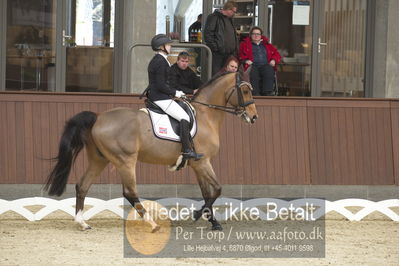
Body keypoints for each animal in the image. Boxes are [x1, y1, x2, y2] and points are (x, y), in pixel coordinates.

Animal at [43, 71, 256, 232]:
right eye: (245, 90)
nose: (254, 117)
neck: (205, 116)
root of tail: (98, 118)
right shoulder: (203, 162)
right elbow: (217, 189)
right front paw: (197, 214)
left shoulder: (198, 165)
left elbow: (207, 192)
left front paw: (213, 221)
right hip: (125, 161)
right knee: (129, 192)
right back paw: (151, 223)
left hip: (99, 160)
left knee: (83, 185)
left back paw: (82, 222)